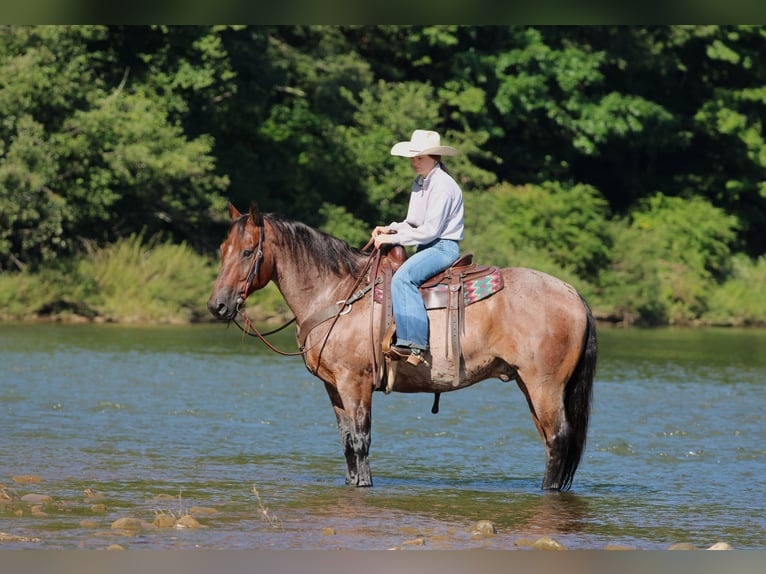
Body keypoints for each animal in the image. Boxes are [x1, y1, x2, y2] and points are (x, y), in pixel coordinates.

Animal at [207, 203, 597, 491]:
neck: (338, 294)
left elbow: (360, 441)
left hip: (544, 385)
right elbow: (346, 443)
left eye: (247, 252)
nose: (218, 306)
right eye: (223, 249)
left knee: (558, 439)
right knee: (550, 440)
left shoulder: (356, 383)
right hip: (530, 385)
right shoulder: (334, 387)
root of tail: (572, 292)